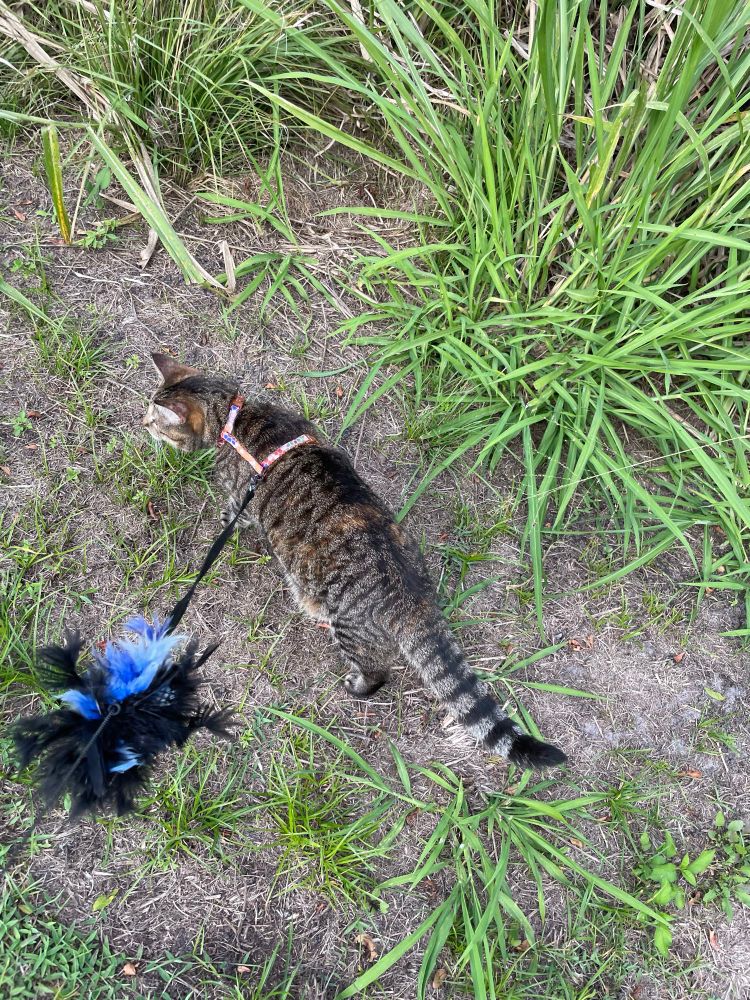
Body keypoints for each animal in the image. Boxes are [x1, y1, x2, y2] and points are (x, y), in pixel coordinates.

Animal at [143, 353, 566, 769]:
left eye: (155, 420)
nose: (142, 423)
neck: (235, 416)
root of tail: (413, 596)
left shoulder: (241, 500)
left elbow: (231, 515)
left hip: (347, 625)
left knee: (377, 671)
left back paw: (358, 684)